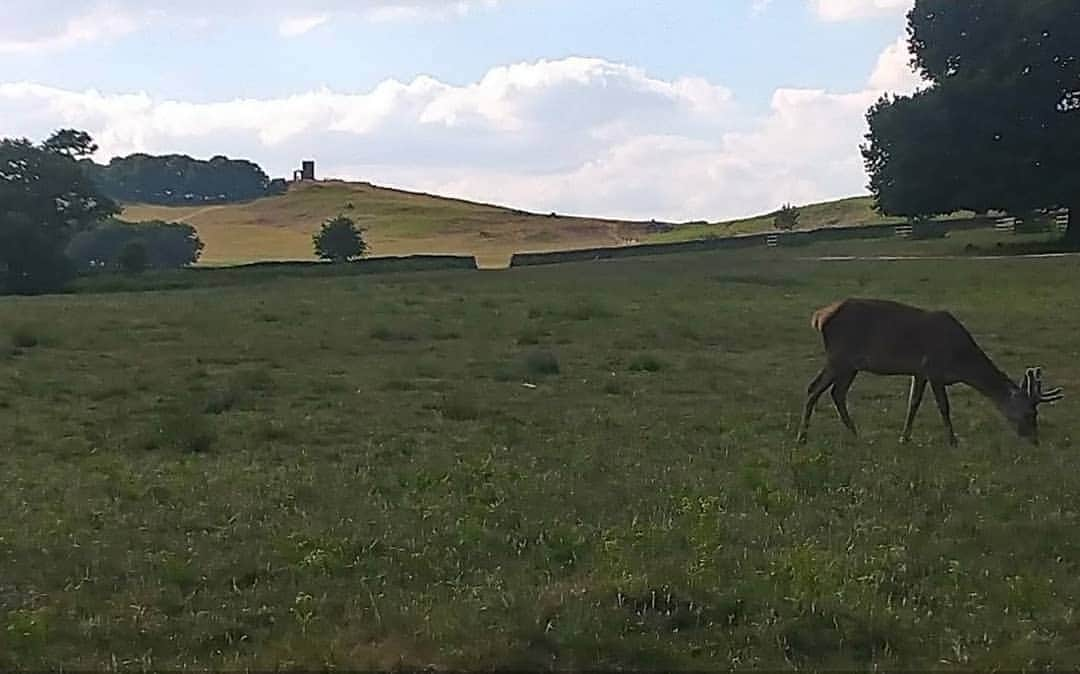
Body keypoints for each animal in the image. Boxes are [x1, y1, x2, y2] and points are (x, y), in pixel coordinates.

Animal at [794, 298, 1062, 445]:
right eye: (1029, 413)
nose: (1035, 440)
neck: (960, 361)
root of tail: (819, 317)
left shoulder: (920, 372)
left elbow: (913, 403)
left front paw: (905, 438)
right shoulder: (934, 368)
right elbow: (943, 407)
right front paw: (953, 441)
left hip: (850, 364)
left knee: (836, 393)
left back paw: (854, 433)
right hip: (839, 356)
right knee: (813, 388)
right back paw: (802, 438)